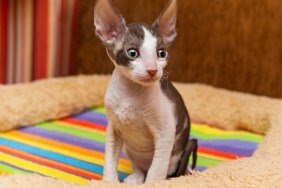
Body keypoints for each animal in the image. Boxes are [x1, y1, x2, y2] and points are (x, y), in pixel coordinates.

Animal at [93, 0, 197, 184]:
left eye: (161, 53)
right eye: (132, 53)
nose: (152, 70)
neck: (131, 94)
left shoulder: (165, 133)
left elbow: (156, 170)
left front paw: (152, 184)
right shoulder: (114, 128)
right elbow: (110, 158)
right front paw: (109, 181)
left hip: (174, 157)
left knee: (161, 169)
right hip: (130, 149)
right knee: (139, 167)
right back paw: (136, 177)